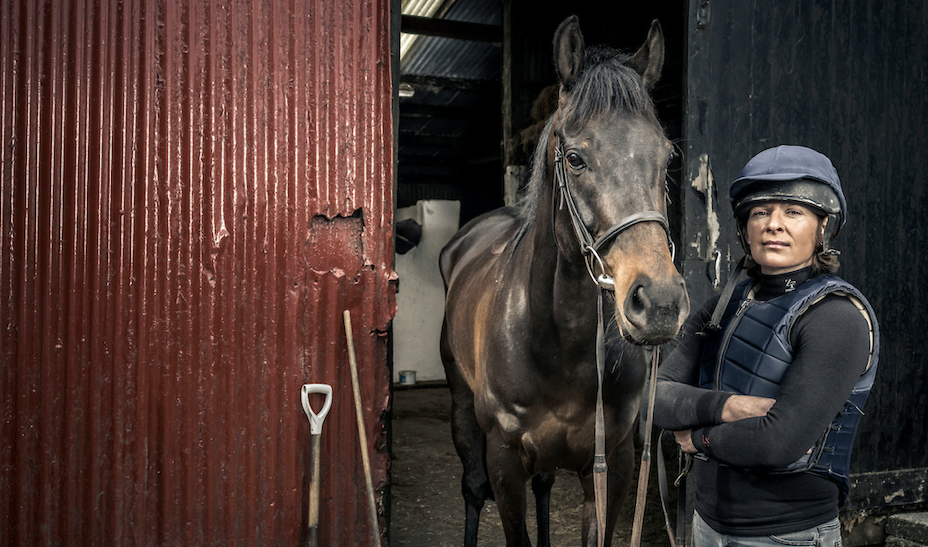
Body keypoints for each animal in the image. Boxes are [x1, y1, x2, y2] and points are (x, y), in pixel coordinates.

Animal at [438, 16, 689, 547]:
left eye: (666, 156)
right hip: (462, 409)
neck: (561, 345)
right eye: (574, 158)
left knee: (545, 487)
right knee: (472, 488)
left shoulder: (612, 465)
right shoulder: (504, 463)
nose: (659, 302)